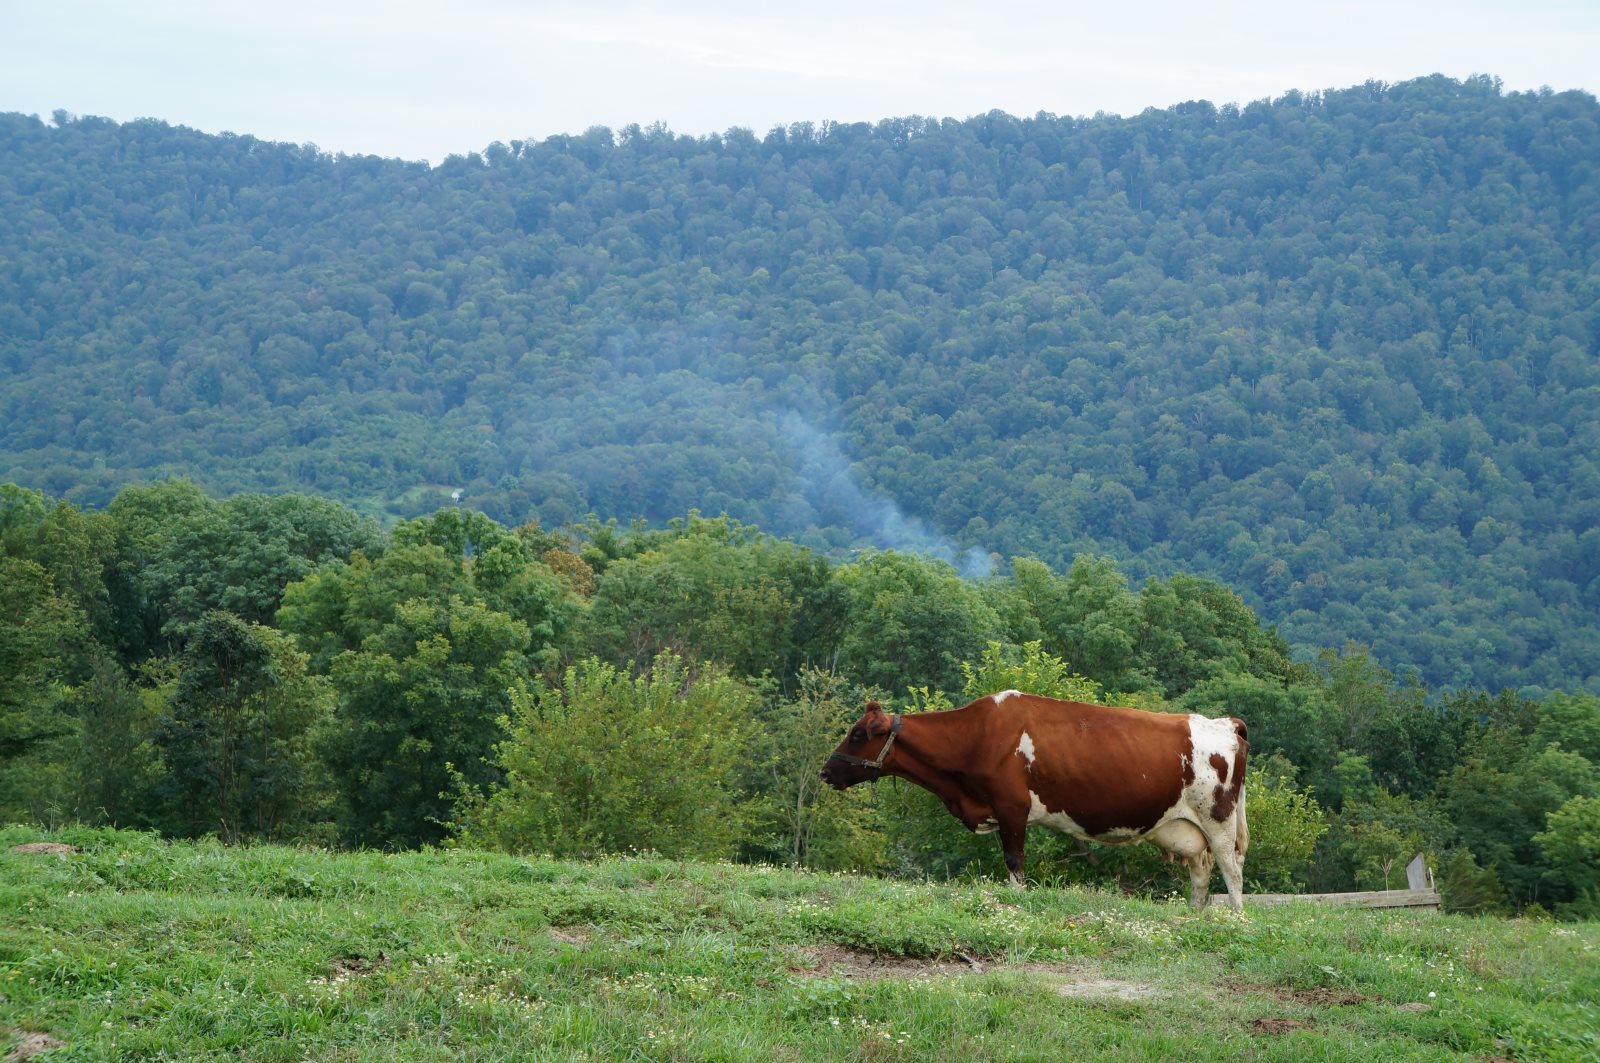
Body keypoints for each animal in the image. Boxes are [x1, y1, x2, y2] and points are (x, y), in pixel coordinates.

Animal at [825, 694, 1248, 909]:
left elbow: (1015, 864)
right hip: (1188, 828)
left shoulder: (1012, 808)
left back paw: (1236, 919)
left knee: (1232, 869)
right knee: (1201, 870)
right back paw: (1193, 916)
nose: (826, 772)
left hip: (1219, 818)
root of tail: (1226, 723)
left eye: (858, 734)